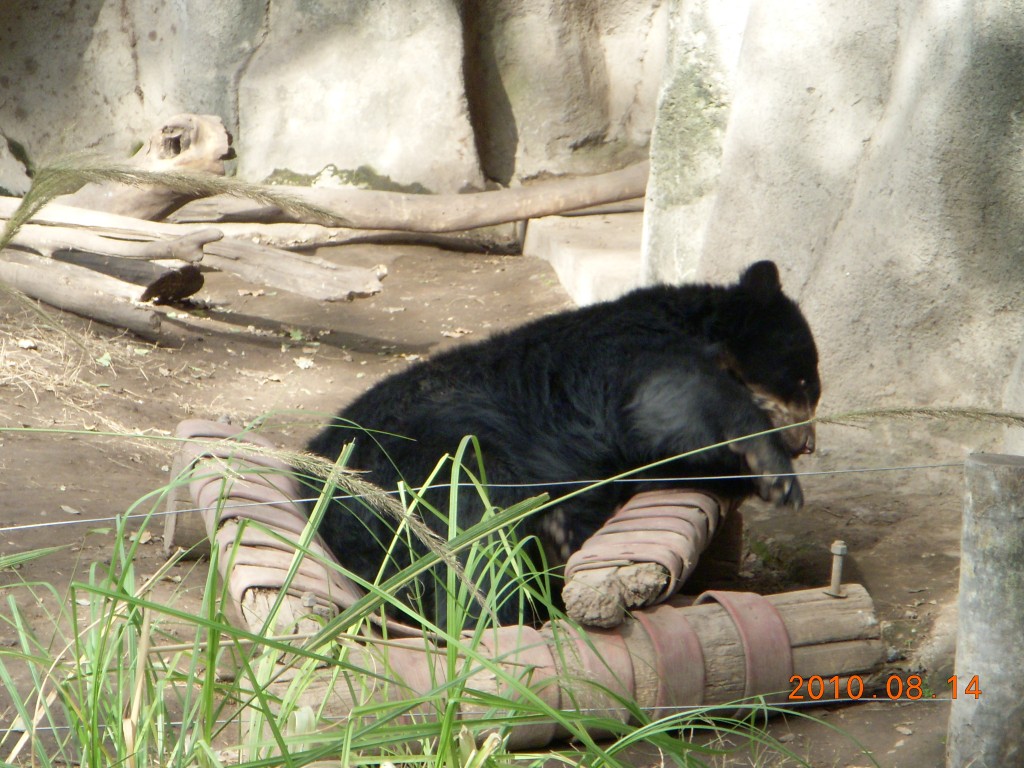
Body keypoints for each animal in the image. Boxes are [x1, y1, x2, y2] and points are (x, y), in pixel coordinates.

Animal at [305, 262, 823, 626]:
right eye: (803, 381)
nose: (808, 443)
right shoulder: (625, 354)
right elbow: (673, 407)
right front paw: (776, 475)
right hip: (435, 458)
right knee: (477, 544)